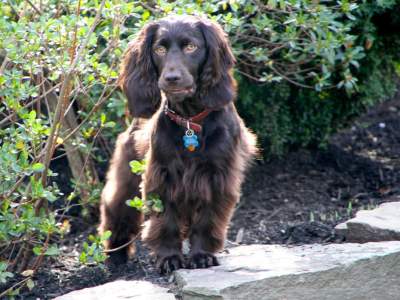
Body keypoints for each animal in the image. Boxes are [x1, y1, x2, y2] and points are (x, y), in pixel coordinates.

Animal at [99, 16, 256, 274]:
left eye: (191, 47)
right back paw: (116, 256)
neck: (190, 120)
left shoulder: (218, 176)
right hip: (127, 178)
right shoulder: (161, 175)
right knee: (118, 212)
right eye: (159, 49)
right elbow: (166, 221)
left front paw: (202, 255)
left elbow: (207, 219)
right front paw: (169, 258)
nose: (171, 78)